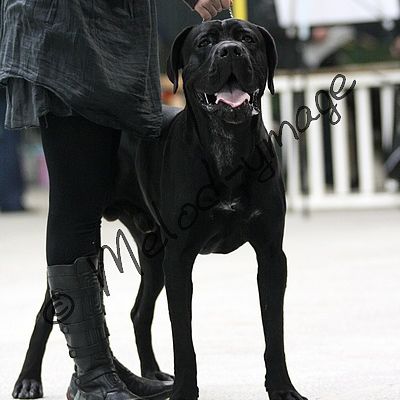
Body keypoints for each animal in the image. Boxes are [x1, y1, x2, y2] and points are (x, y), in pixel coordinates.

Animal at [12, 18, 306, 400]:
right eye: (205, 42)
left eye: (248, 39)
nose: (230, 51)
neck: (226, 147)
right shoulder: (179, 259)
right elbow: (183, 337)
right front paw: (184, 391)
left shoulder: (270, 255)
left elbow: (274, 329)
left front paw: (283, 388)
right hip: (80, 221)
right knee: (47, 313)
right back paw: (28, 380)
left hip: (152, 255)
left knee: (139, 312)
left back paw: (149, 374)